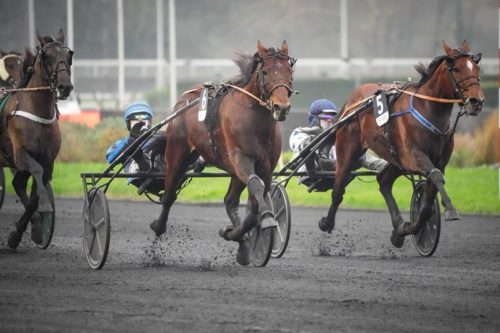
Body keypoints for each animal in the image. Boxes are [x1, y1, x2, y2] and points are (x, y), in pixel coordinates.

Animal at [0, 29, 73, 248]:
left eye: (69, 55)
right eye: (46, 56)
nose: (65, 86)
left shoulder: (47, 161)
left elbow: (35, 194)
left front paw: (27, 231)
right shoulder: (21, 155)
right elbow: (37, 175)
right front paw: (44, 208)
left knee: (18, 184)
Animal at [150, 40, 294, 264]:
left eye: (289, 70)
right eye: (266, 72)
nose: (282, 107)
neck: (255, 119)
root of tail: (184, 99)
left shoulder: (266, 168)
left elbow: (253, 207)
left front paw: (234, 233)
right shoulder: (242, 159)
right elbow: (255, 185)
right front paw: (268, 219)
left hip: (232, 172)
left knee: (230, 202)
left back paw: (241, 243)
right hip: (177, 154)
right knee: (169, 195)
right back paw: (158, 225)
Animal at [320, 40, 484, 246]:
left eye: (476, 68)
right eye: (455, 68)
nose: (476, 101)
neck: (428, 109)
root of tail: (352, 101)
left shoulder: (439, 161)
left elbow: (427, 203)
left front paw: (409, 228)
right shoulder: (415, 155)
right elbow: (436, 176)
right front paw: (450, 209)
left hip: (396, 159)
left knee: (383, 180)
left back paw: (398, 228)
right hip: (349, 148)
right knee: (338, 188)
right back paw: (327, 222)